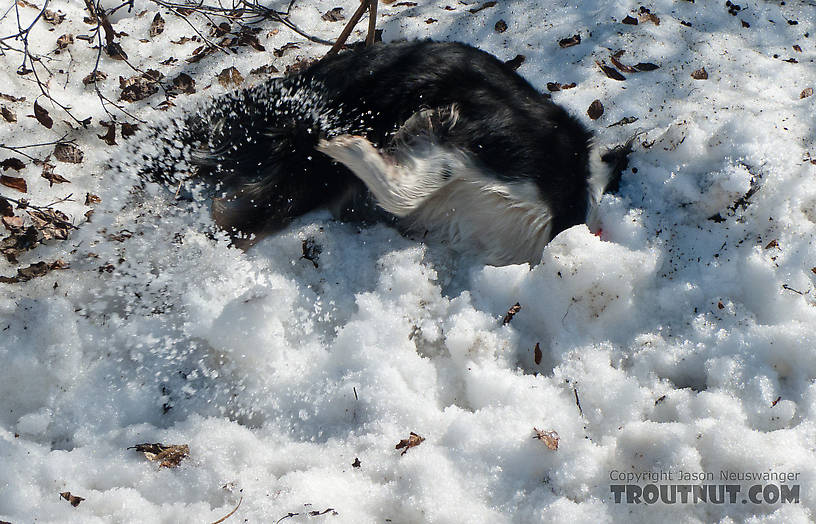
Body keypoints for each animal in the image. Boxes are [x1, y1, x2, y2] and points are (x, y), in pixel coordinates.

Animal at [124, 40, 628, 266]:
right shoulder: (483, 135)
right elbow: (414, 181)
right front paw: (358, 146)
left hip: (305, 180)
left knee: (234, 218)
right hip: (309, 166)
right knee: (235, 213)